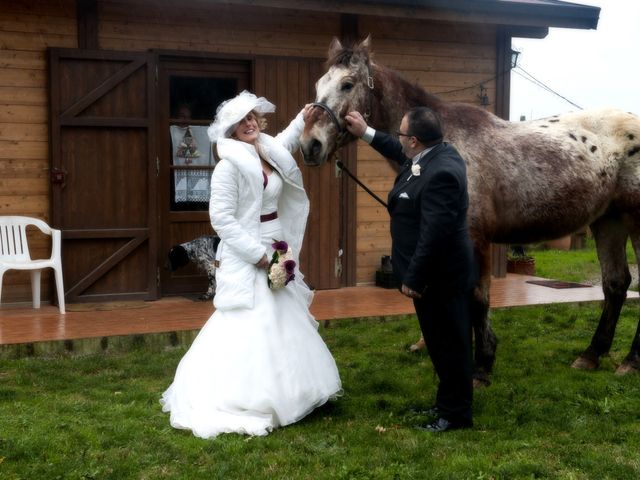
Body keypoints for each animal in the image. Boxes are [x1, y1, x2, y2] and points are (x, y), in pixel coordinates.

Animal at [300, 36, 640, 386]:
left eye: (347, 84)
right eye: (318, 85)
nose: (309, 145)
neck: (447, 143)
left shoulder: (475, 239)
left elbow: (477, 299)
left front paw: (481, 367)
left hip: (634, 220)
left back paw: (630, 361)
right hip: (608, 221)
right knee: (615, 284)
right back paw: (591, 355)